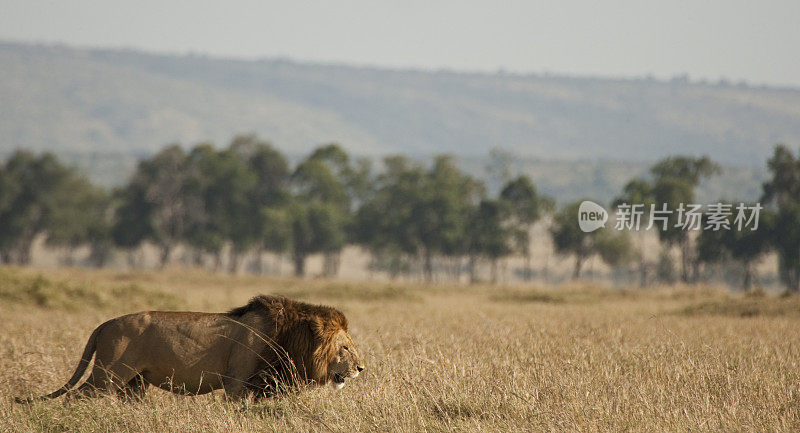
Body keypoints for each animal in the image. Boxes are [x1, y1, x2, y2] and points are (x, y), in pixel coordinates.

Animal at [15, 294, 366, 402]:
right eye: (346, 348)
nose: (362, 368)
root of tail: (105, 323)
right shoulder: (238, 383)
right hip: (108, 375)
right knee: (77, 397)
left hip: (134, 383)